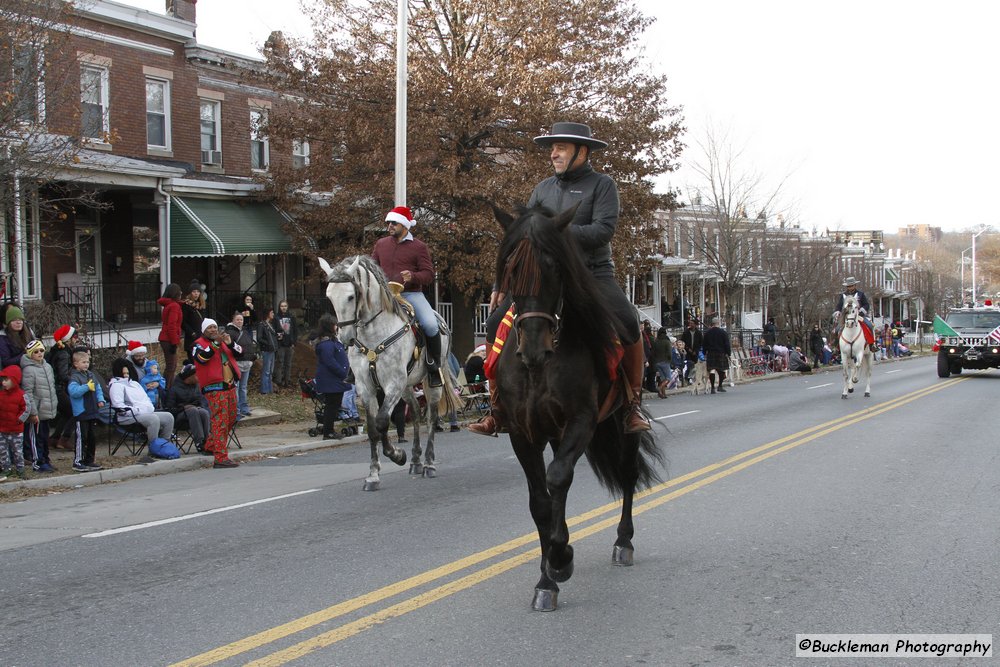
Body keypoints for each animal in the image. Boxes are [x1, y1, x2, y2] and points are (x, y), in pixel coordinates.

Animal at [320, 256, 460, 490]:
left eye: (351, 296)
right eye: (329, 296)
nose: (345, 337)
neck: (374, 334)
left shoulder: (393, 383)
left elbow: (382, 421)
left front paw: (396, 455)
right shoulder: (366, 388)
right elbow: (373, 428)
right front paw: (373, 475)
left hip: (431, 383)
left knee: (431, 418)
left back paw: (428, 463)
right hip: (407, 387)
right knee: (415, 413)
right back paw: (415, 461)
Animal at [492, 206, 664, 612]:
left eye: (554, 267)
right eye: (510, 268)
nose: (533, 348)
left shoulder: (581, 421)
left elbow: (557, 479)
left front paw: (560, 559)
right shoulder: (523, 432)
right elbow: (541, 501)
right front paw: (546, 579)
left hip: (621, 423)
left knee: (628, 474)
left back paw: (623, 542)